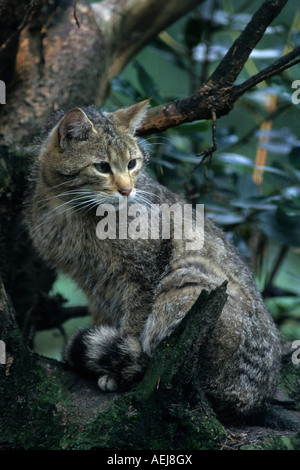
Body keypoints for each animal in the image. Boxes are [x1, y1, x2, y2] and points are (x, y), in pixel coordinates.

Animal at [24, 101, 282, 416]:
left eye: (132, 163)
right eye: (102, 167)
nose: (127, 190)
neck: (71, 210)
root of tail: (254, 399)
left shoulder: (144, 273)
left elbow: (135, 322)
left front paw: (114, 367)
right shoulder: (95, 286)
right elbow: (106, 320)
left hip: (187, 279)